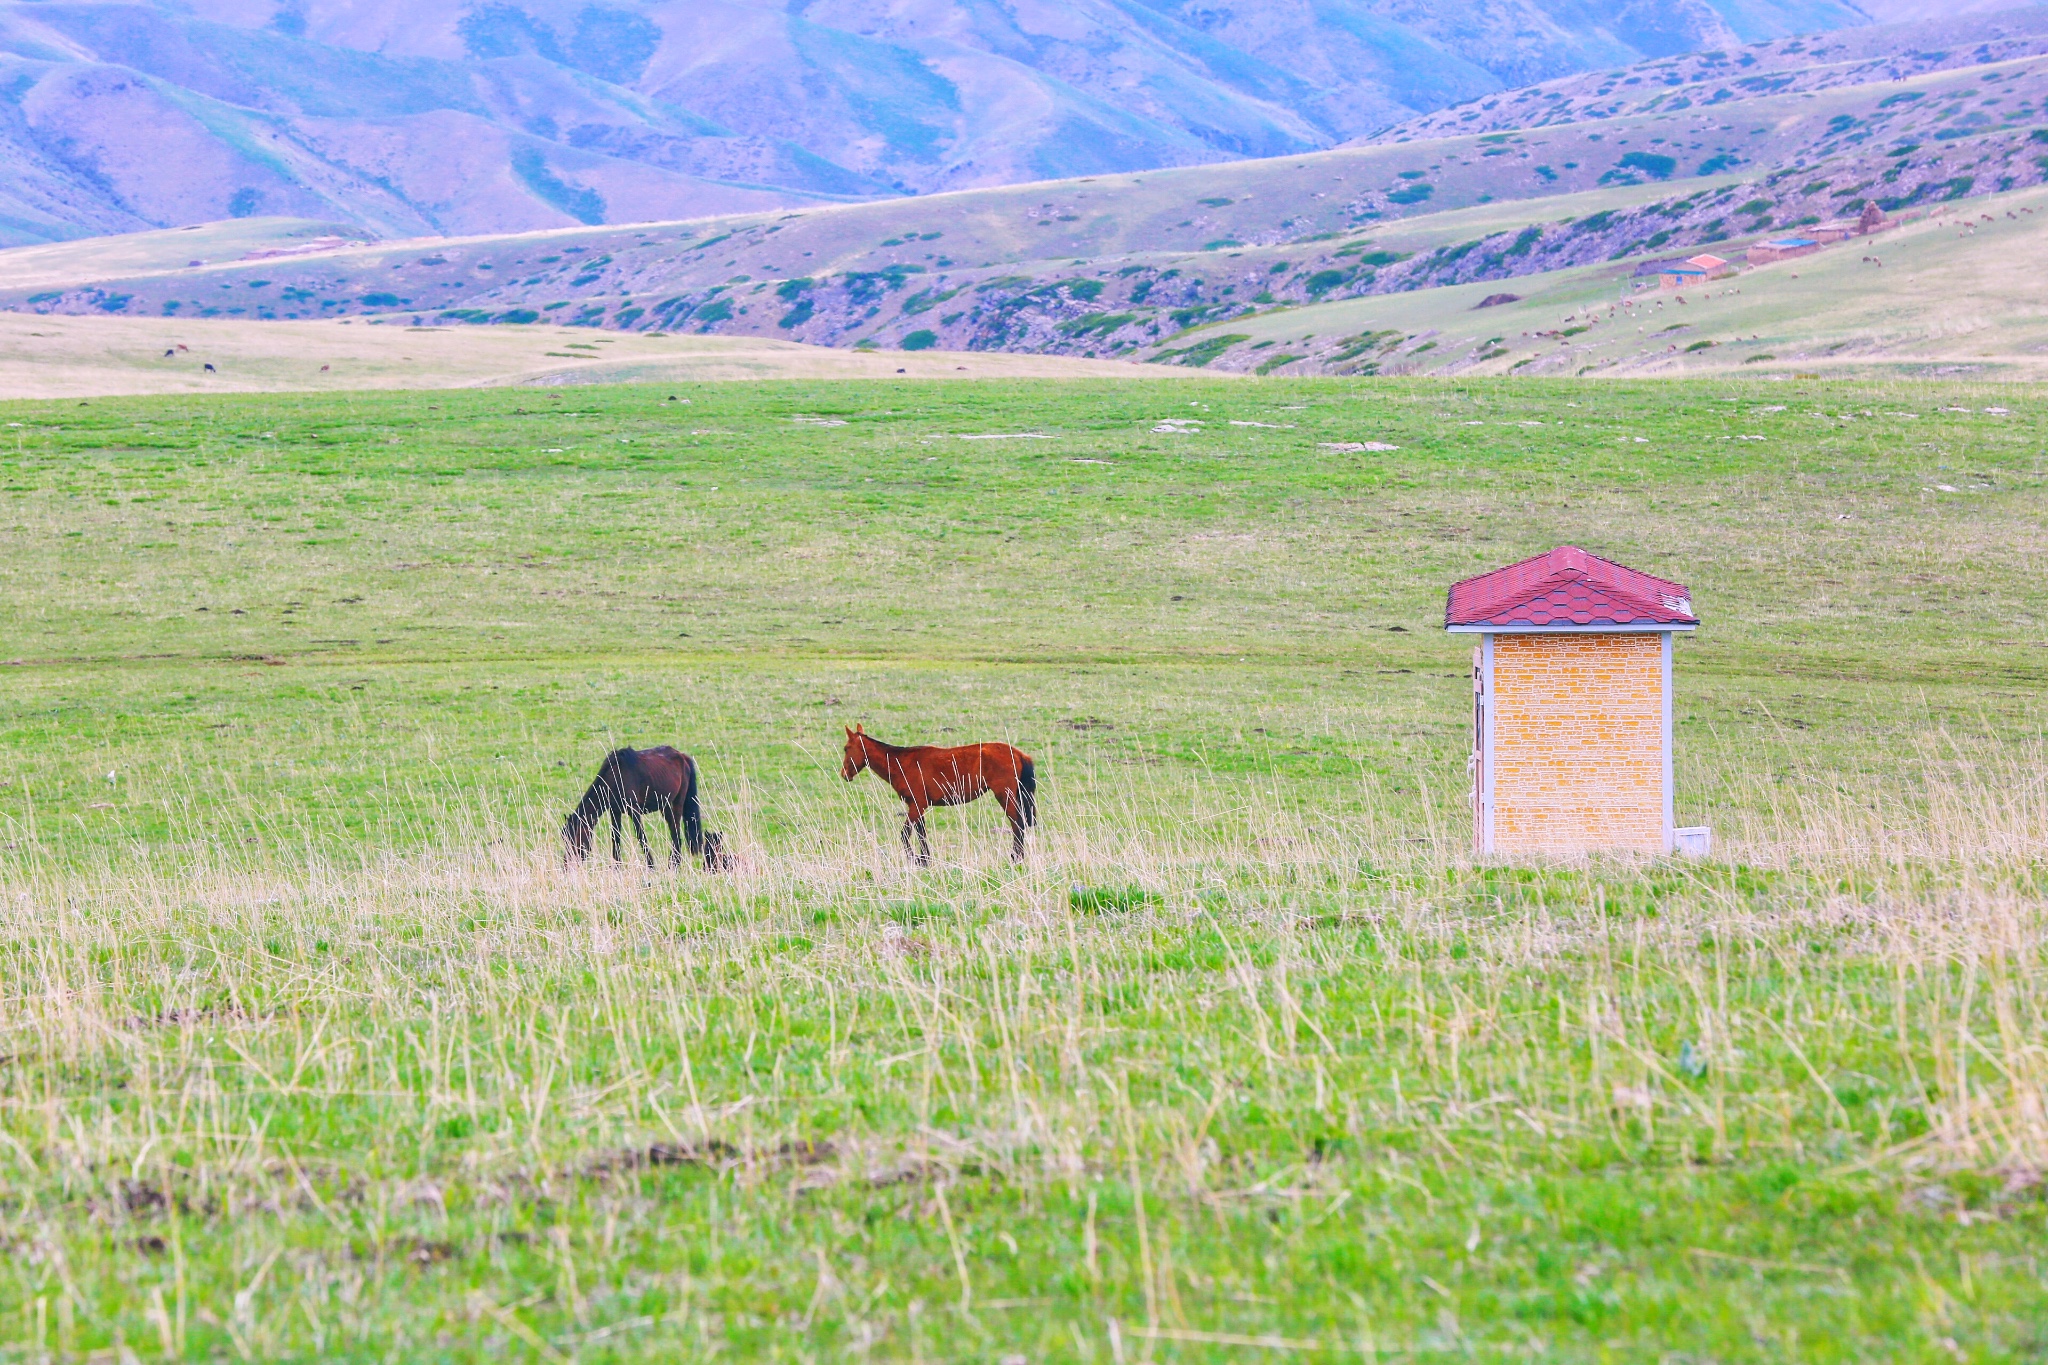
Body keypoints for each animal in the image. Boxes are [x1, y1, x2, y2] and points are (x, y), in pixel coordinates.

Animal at [561, 749, 729, 875]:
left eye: (574, 839)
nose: (566, 866)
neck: (615, 776)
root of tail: (683, 757)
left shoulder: (634, 811)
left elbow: (641, 837)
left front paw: (651, 867)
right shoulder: (615, 811)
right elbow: (616, 838)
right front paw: (616, 867)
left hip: (676, 804)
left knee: (676, 835)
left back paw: (673, 866)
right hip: (665, 806)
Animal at [835, 724, 1032, 863]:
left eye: (846, 748)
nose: (844, 774)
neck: (902, 763)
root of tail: (1018, 753)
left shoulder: (916, 805)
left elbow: (905, 834)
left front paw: (915, 859)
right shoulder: (917, 807)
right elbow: (921, 833)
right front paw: (925, 860)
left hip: (1005, 795)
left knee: (1017, 824)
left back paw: (1016, 858)